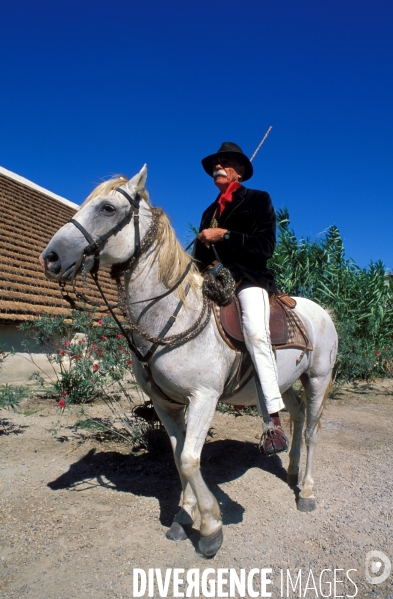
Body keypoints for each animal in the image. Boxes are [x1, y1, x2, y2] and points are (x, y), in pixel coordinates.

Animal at [40, 165, 336, 556]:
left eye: (107, 208)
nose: (50, 257)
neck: (173, 315)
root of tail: (322, 312)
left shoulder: (203, 398)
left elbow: (189, 459)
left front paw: (210, 527)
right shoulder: (166, 403)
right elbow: (179, 457)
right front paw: (183, 517)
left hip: (318, 378)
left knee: (313, 432)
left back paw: (307, 491)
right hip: (286, 382)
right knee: (298, 418)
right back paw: (290, 471)